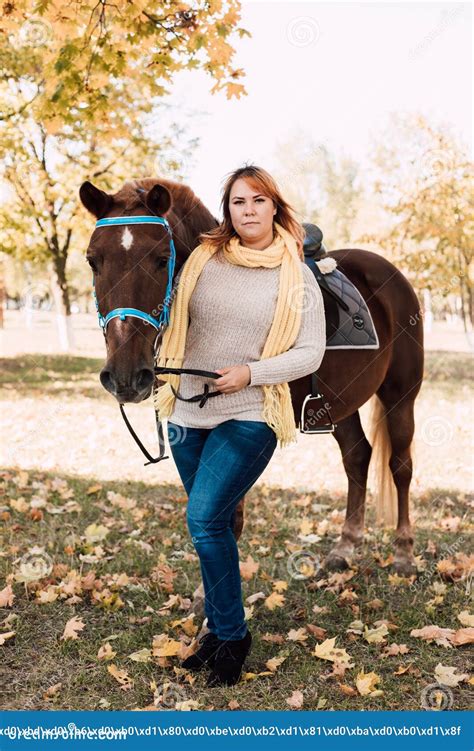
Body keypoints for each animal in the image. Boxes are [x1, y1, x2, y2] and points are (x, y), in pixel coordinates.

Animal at [79, 176, 424, 576]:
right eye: (93, 261)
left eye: (162, 259)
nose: (125, 377)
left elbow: (229, 519)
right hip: (339, 404)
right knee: (357, 457)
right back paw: (345, 546)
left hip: (401, 395)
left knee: (400, 466)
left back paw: (404, 552)